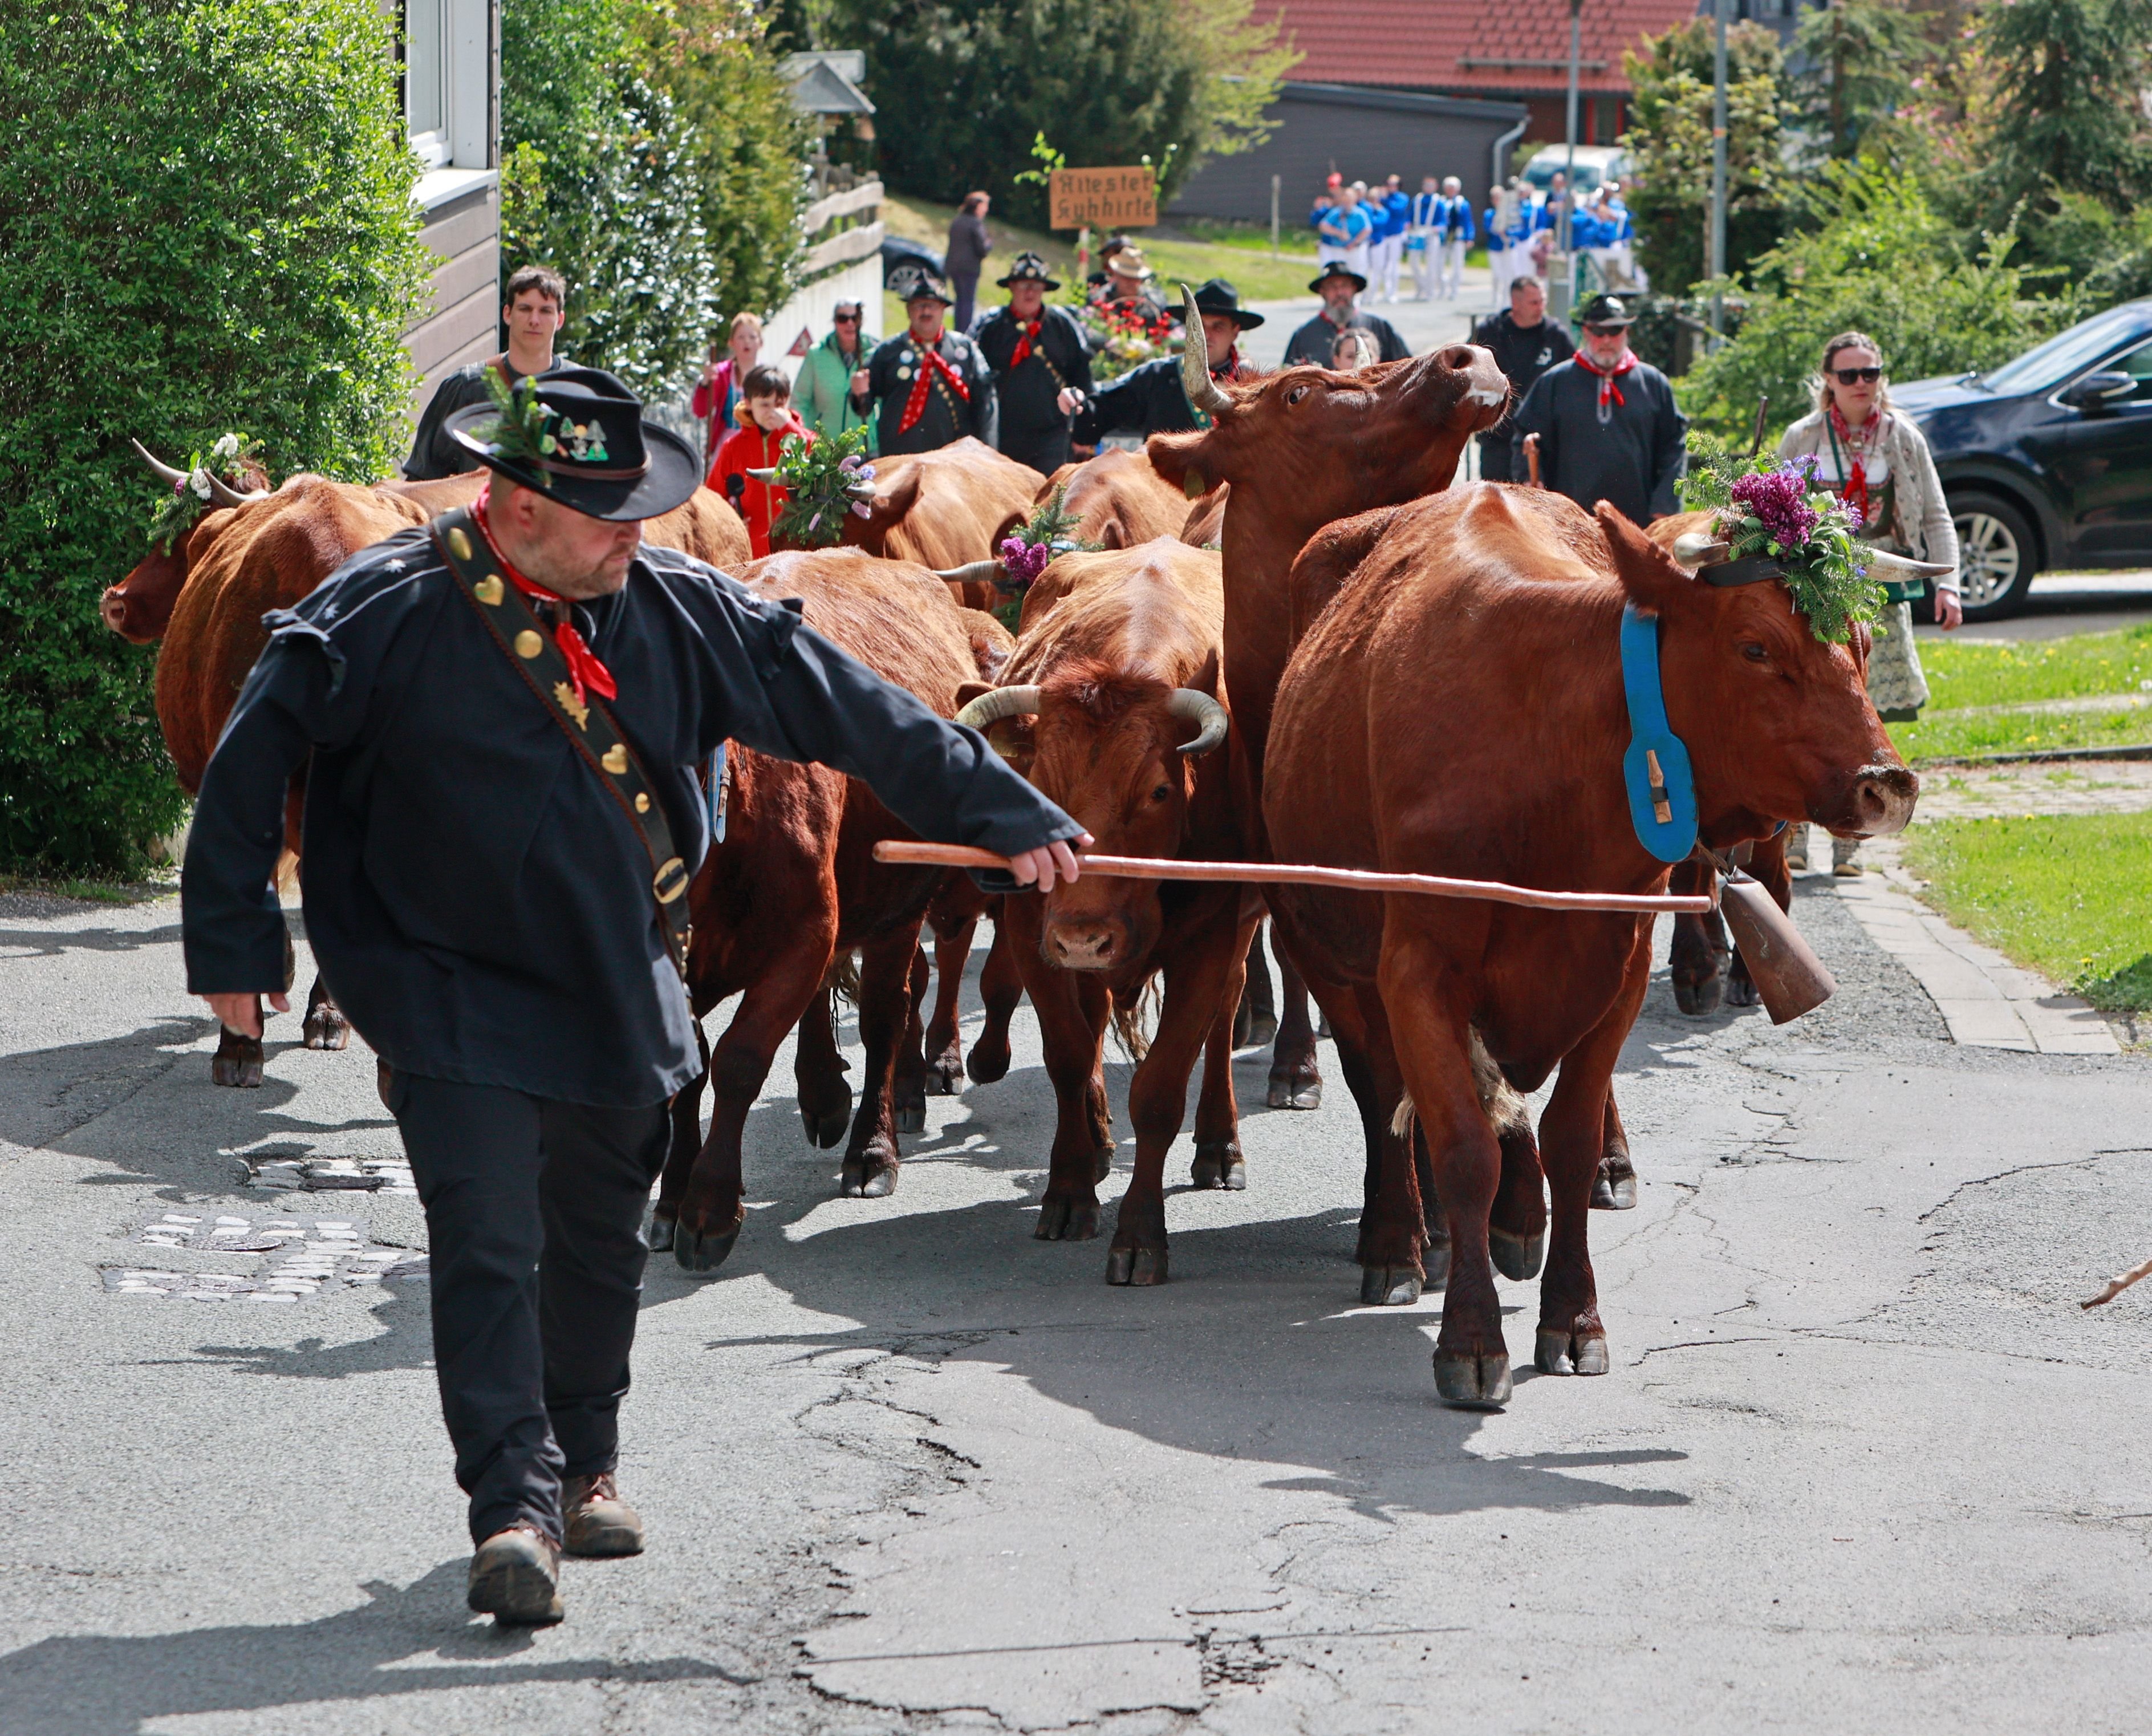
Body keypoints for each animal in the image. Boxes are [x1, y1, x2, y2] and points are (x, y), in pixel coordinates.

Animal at [649, 550, 994, 1273]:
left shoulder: (804, 933)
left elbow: (739, 1059)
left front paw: (708, 1208)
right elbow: (687, 1071)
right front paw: (670, 1200)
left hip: (901, 904)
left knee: (891, 1011)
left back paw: (873, 1147)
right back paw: (824, 1096)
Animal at [955, 542, 1248, 1291]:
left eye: (1160, 790)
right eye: (1040, 785)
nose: (1084, 936)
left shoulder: (1211, 940)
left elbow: (1162, 1089)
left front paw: (1141, 1234)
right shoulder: (1032, 931)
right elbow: (1066, 1057)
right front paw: (1067, 1191)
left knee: (1228, 1014)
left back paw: (1220, 1143)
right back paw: (1095, 1141)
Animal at [1257, 481, 1919, 1402]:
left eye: (1860, 642)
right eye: (1755, 646)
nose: (1887, 782)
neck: (1552, 756)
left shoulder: (1621, 962)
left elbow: (1567, 1140)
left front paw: (1572, 1317)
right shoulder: (1415, 968)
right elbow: (1457, 1142)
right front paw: (1468, 1335)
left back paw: (1530, 1212)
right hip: (1329, 947)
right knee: (1384, 1091)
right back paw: (1404, 1237)